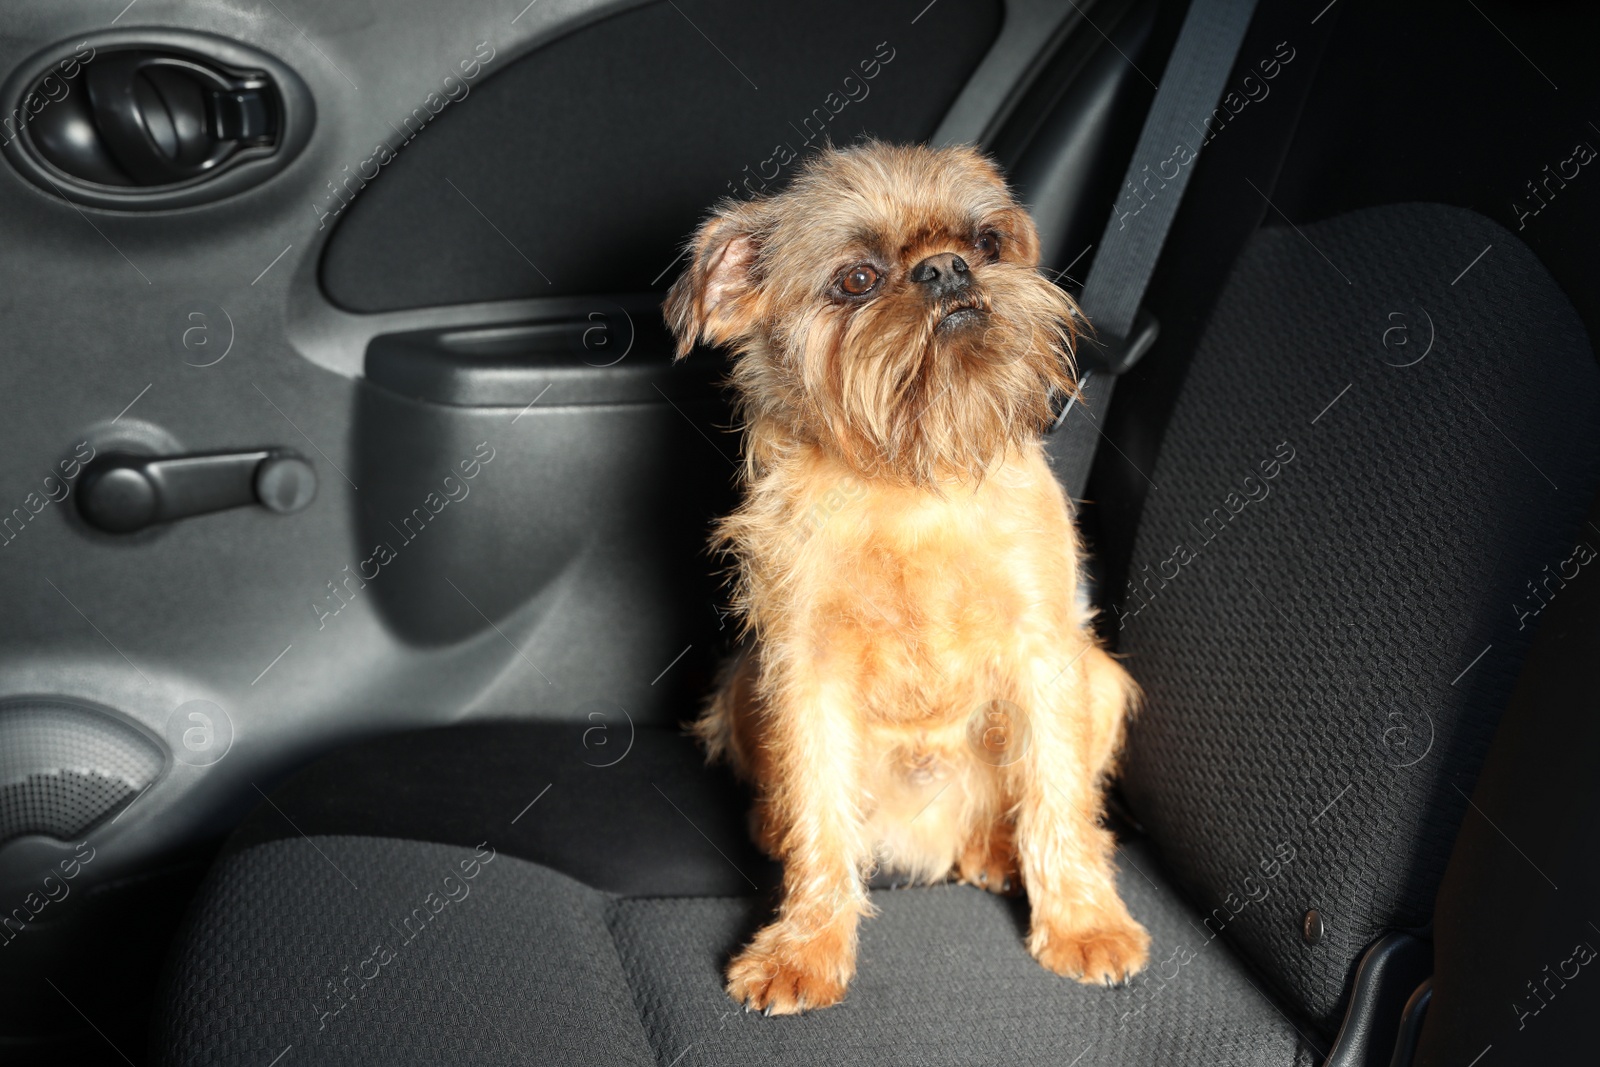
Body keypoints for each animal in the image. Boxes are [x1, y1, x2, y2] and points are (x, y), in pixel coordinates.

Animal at [665, 137, 1152, 1017]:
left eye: (988, 243)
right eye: (857, 279)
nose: (947, 269)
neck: (910, 477)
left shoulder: (1046, 653)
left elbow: (1057, 795)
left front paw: (1083, 921)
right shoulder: (805, 670)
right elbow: (820, 811)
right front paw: (806, 945)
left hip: (1097, 680)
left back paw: (995, 848)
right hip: (744, 683)